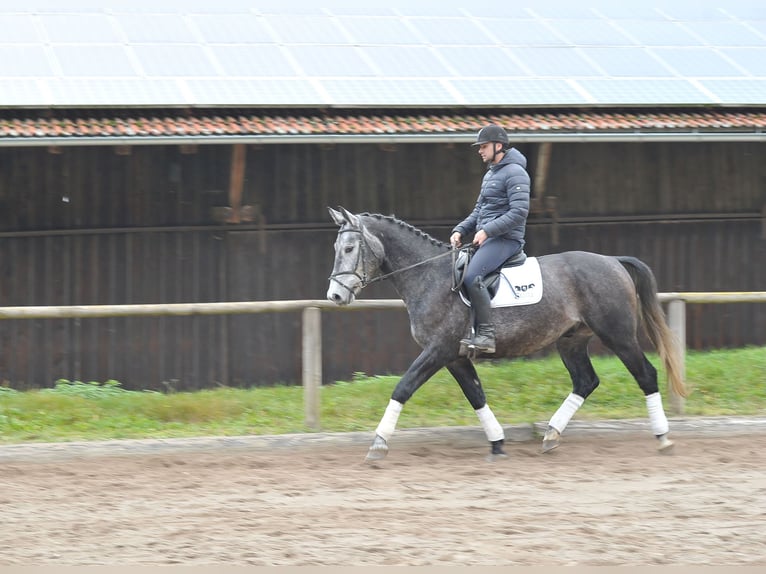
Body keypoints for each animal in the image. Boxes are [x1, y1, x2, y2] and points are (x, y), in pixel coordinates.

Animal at [326, 207, 688, 464]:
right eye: (336, 248)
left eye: (349, 247)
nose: (335, 296)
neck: (429, 277)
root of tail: (613, 261)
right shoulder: (455, 357)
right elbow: (476, 395)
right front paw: (498, 443)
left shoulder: (438, 351)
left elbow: (402, 388)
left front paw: (378, 444)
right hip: (571, 340)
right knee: (586, 381)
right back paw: (551, 435)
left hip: (618, 335)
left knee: (645, 374)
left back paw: (664, 438)